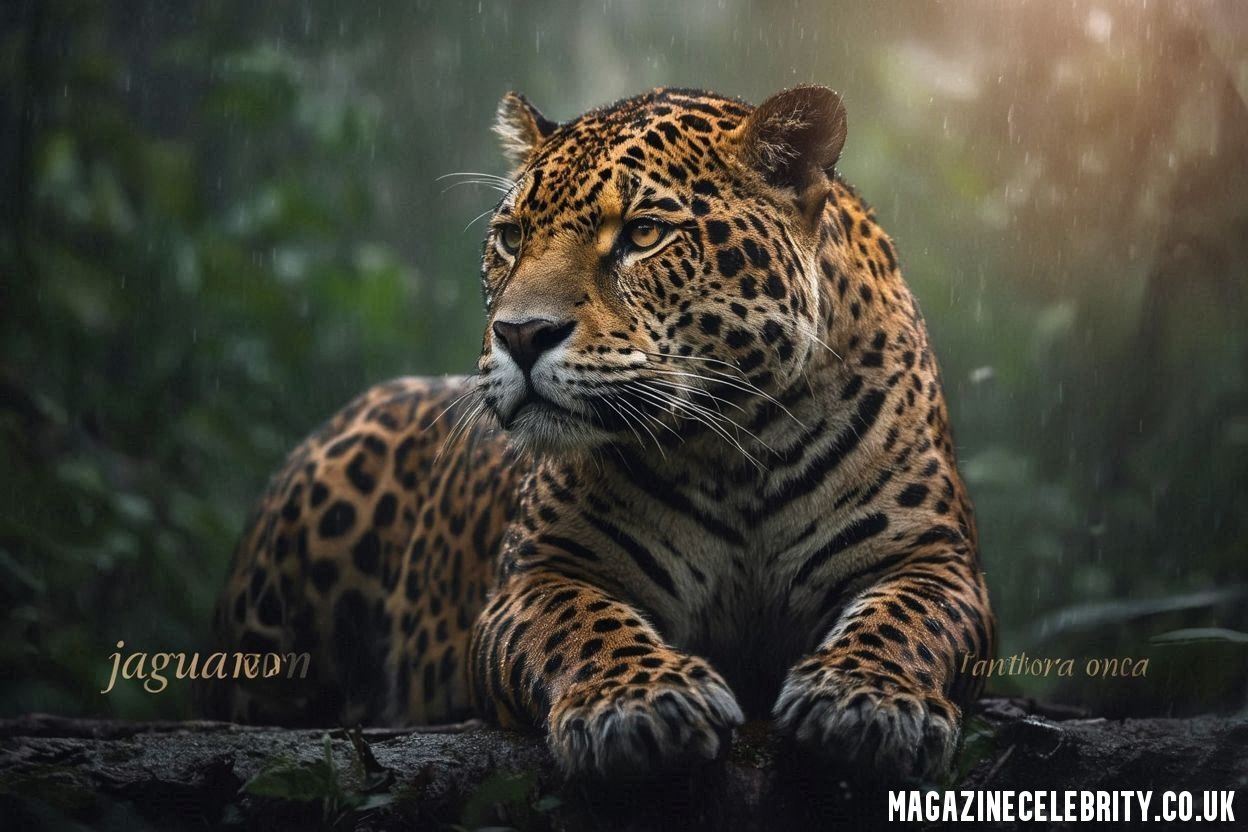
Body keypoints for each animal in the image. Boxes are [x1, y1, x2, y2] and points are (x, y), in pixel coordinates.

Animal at [202, 84, 995, 782]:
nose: (520, 334)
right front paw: (644, 705)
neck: (736, 447)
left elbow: (904, 619)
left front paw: (865, 702)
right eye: (511, 238)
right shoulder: (535, 573)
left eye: (642, 234)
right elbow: (582, 621)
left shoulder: (933, 558)